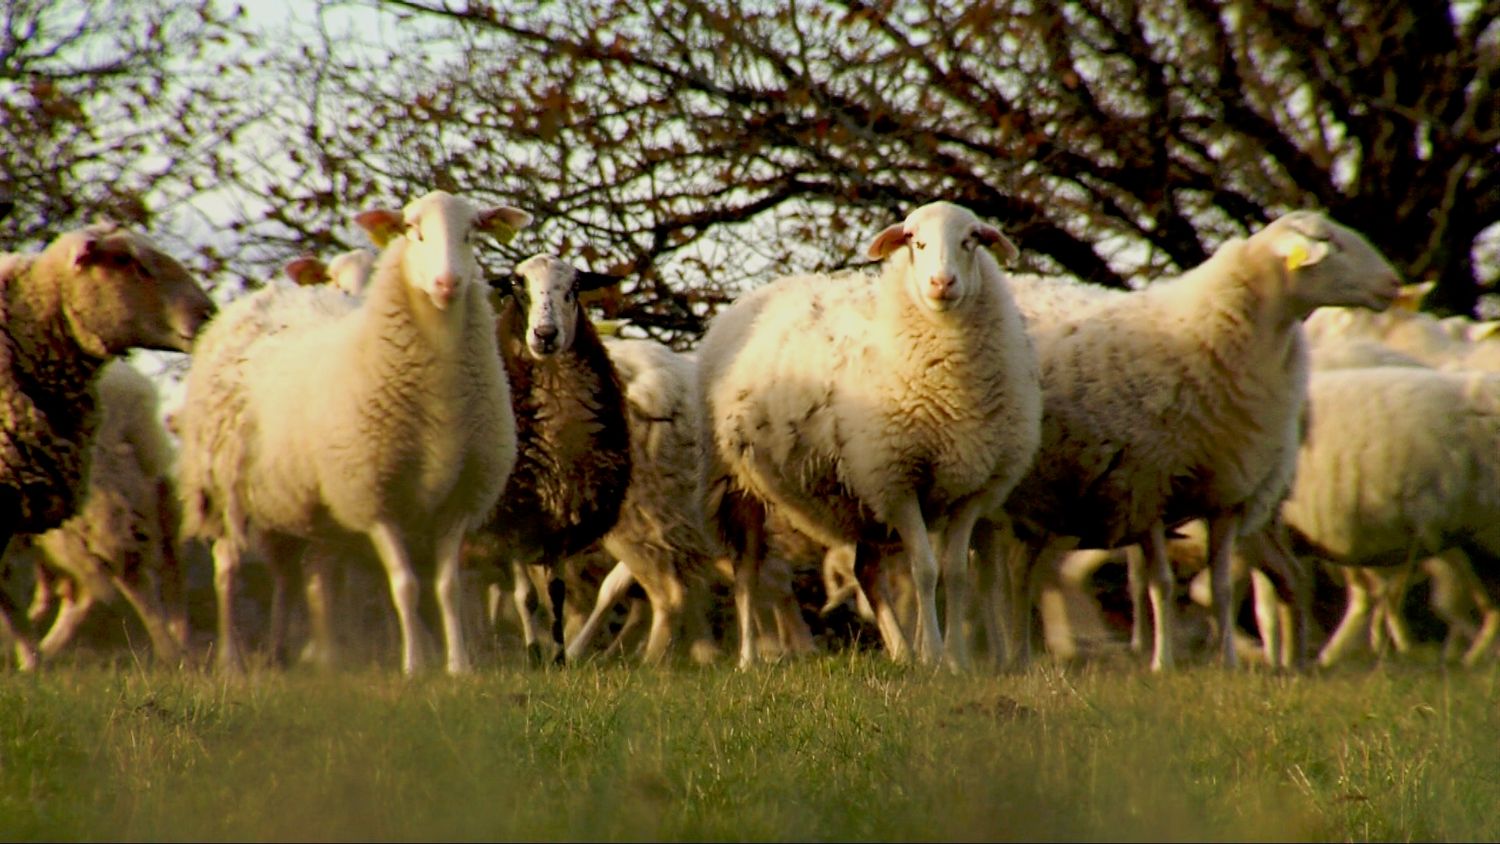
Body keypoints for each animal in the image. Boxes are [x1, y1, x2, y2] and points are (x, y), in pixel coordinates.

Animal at [0, 221, 217, 671]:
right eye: (126, 261)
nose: (207, 314)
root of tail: (139, 409)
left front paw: (28, 655)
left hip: (108, 501)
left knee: (126, 576)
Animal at [175, 188, 531, 677]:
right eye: (412, 232)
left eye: (470, 234)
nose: (448, 283)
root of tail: (263, 296)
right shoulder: (373, 497)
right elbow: (405, 585)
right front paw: (414, 667)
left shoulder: (457, 501)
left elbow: (447, 588)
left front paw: (458, 666)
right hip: (223, 486)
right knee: (227, 568)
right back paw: (233, 660)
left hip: (292, 499)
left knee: (289, 576)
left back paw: (288, 655)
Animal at [693, 200, 1038, 671]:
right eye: (915, 241)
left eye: (971, 240)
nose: (942, 283)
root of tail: (748, 299)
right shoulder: (897, 481)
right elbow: (925, 570)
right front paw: (935, 658)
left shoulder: (971, 490)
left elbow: (955, 573)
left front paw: (956, 663)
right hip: (735, 483)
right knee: (745, 571)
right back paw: (749, 659)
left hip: (859, 497)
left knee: (867, 571)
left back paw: (901, 653)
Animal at [990, 209, 1398, 674]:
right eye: (1330, 243)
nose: (1392, 284)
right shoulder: (1147, 487)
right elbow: (1162, 583)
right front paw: (1163, 663)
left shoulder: (1226, 494)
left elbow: (1219, 588)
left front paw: (1228, 664)